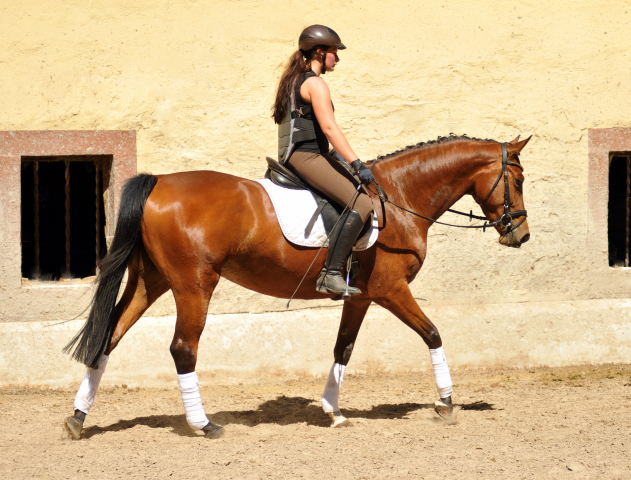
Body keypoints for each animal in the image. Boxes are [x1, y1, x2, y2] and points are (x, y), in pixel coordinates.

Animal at [64, 134, 532, 438]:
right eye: (519, 180)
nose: (521, 236)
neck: (400, 198)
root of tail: (160, 181)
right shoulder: (392, 290)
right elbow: (433, 333)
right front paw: (446, 404)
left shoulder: (360, 297)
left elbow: (343, 349)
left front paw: (333, 410)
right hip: (194, 285)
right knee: (182, 349)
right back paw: (204, 424)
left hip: (152, 281)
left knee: (108, 337)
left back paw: (77, 419)